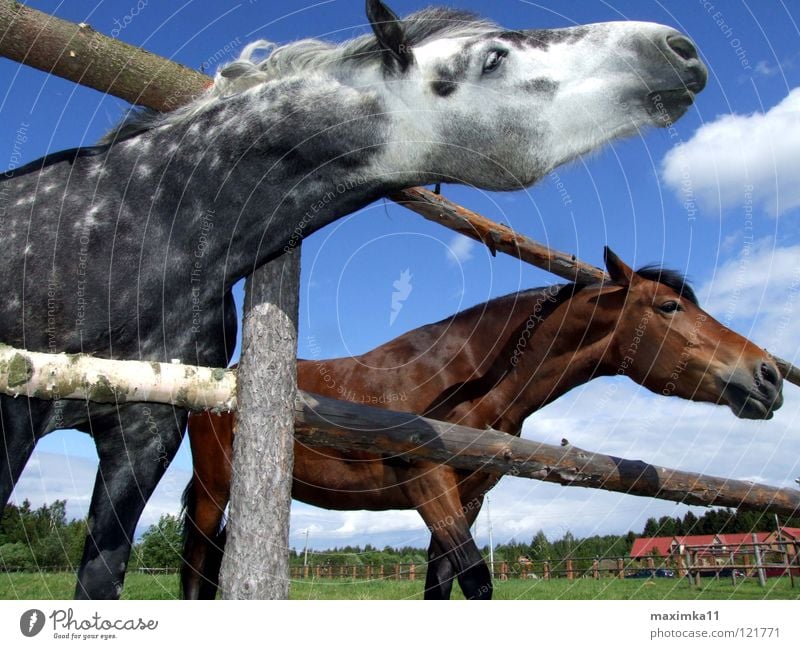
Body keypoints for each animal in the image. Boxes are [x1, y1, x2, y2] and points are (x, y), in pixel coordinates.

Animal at [180, 248, 780, 596]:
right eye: (668, 307)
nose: (769, 374)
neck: (460, 380)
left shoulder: (467, 498)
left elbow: (440, 584)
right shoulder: (428, 484)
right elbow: (476, 579)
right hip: (214, 490)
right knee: (196, 567)